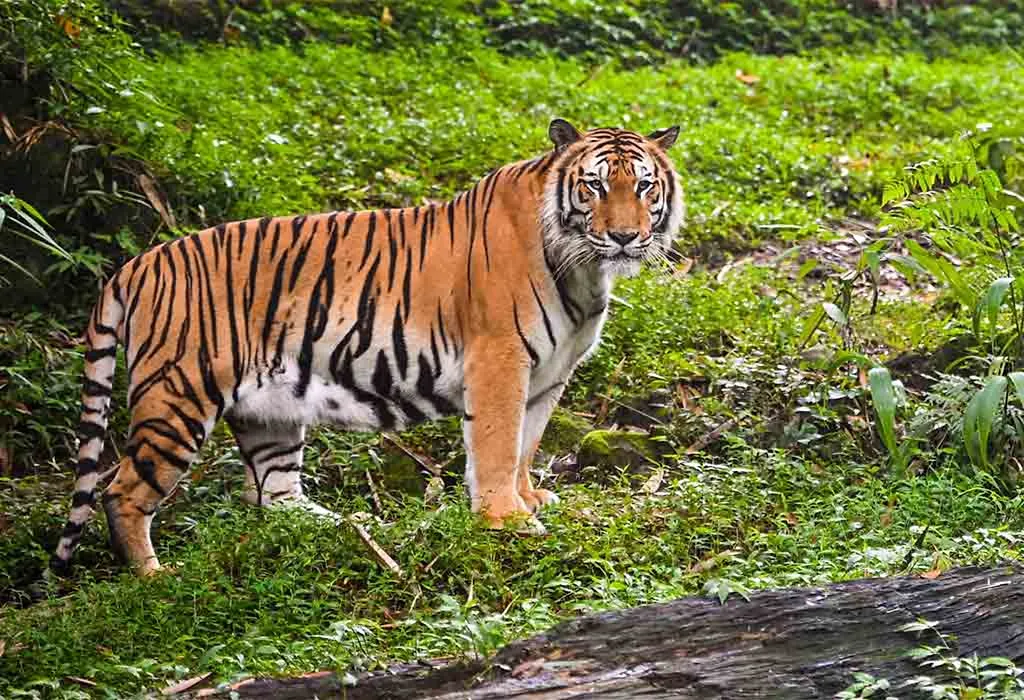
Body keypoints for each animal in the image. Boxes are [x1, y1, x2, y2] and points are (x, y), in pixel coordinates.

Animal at [51, 118, 683, 576]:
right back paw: (154, 577)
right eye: (595, 184)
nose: (625, 236)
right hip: (177, 398)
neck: (585, 269)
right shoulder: (501, 360)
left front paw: (529, 500)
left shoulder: (549, 375)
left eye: (644, 185)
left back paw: (343, 527)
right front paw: (505, 520)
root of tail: (135, 264)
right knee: (121, 491)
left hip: (269, 411)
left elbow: (527, 445)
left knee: (274, 496)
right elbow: (499, 445)